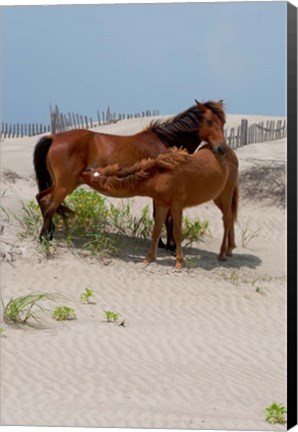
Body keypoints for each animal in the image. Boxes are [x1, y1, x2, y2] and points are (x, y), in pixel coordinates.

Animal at [33, 99, 226, 245]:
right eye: (209, 121)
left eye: (223, 122)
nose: (221, 148)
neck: (166, 144)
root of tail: (54, 137)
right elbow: (166, 217)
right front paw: (169, 246)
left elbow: (159, 217)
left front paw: (163, 244)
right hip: (65, 185)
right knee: (50, 205)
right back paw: (44, 238)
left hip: (65, 183)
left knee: (41, 198)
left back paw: (50, 233)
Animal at [80, 143, 239, 268]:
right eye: (95, 171)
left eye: (95, 177)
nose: (83, 171)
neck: (160, 176)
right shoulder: (161, 204)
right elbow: (156, 230)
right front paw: (149, 258)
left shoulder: (176, 204)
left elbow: (177, 232)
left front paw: (179, 262)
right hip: (217, 197)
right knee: (230, 218)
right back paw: (230, 249)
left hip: (226, 193)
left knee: (227, 219)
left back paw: (222, 253)